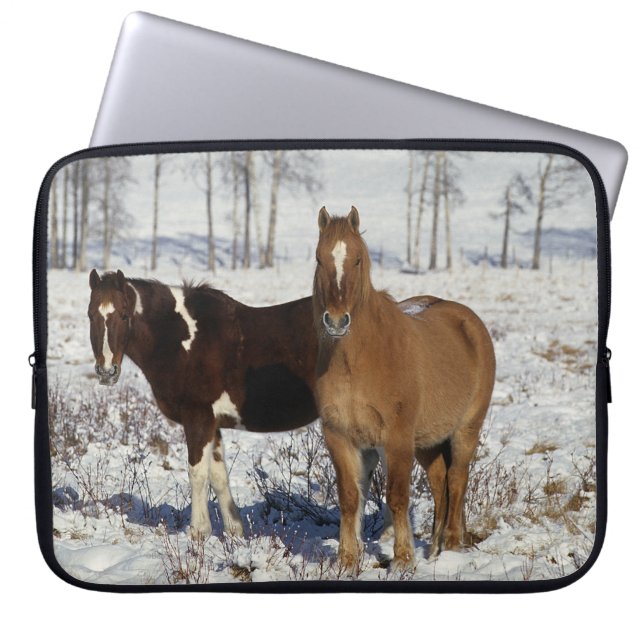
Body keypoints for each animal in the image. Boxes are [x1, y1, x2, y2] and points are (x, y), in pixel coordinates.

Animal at [87, 269, 430, 541]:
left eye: (123, 315)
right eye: (91, 314)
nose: (106, 372)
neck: (180, 339)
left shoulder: (197, 419)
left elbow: (197, 473)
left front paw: (198, 532)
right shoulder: (212, 424)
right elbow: (218, 475)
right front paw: (234, 531)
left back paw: (387, 535)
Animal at [313, 207, 496, 571]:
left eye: (357, 260)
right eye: (319, 259)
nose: (337, 321)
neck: (358, 361)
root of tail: (469, 322)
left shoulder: (396, 437)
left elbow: (397, 496)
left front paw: (403, 560)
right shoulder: (339, 436)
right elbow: (350, 498)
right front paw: (347, 560)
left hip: (466, 429)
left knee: (458, 477)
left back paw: (452, 545)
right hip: (426, 440)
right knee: (440, 481)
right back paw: (435, 548)